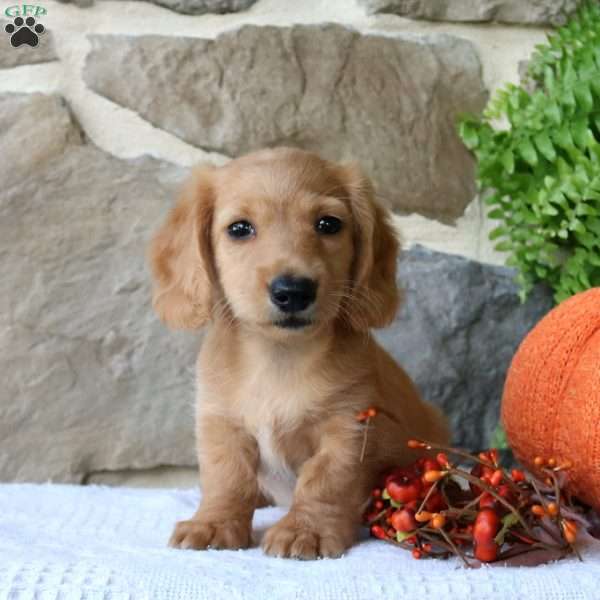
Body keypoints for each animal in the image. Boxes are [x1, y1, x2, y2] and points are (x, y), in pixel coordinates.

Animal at [150, 148, 450, 560]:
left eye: (328, 224)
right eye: (239, 228)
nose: (293, 291)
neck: (278, 359)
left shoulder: (347, 427)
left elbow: (324, 481)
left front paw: (305, 529)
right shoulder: (221, 423)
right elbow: (226, 477)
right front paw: (213, 523)